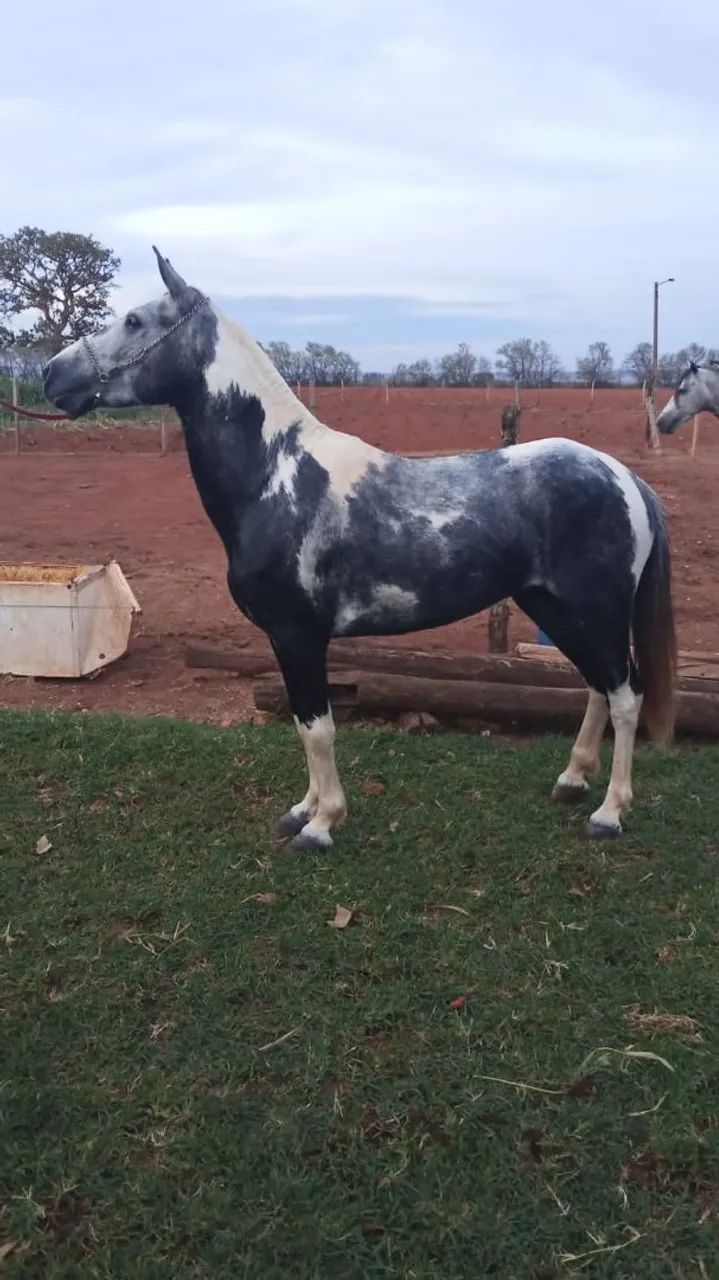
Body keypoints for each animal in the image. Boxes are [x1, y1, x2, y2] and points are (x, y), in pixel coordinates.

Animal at [42, 248, 676, 850]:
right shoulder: (289, 639)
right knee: (599, 685)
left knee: (626, 694)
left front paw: (322, 825)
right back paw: (572, 781)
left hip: (593, 610)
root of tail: (624, 476)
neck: (277, 475)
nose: (51, 374)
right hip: (555, 608)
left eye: (134, 320)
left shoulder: (298, 633)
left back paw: (609, 813)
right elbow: (304, 725)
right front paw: (301, 810)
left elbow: (318, 728)